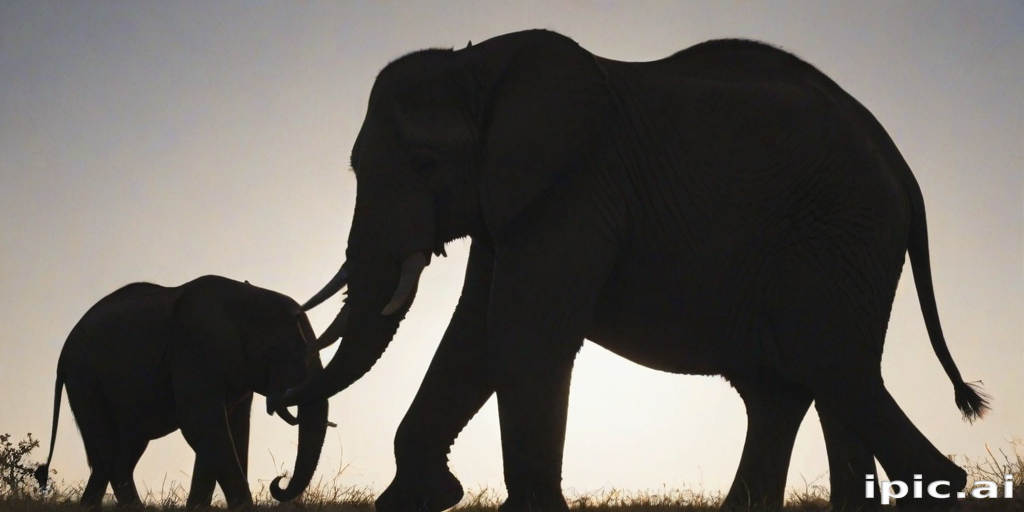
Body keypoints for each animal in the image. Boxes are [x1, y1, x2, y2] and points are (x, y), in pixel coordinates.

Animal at [34, 275, 331, 509]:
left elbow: (230, 429)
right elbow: (201, 422)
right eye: (287, 350)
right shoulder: (195, 350)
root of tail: (63, 352)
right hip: (85, 381)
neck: (247, 296)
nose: (279, 480)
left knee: (119, 450)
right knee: (110, 447)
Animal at [272, 30, 988, 511]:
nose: (280, 483)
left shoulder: (577, 188)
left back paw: (948, 486)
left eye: (424, 162)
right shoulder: (515, 199)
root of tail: (899, 161)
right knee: (794, 384)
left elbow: (521, 335)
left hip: (838, 230)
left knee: (825, 362)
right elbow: (473, 336)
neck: (480, 63)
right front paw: (419, 499)